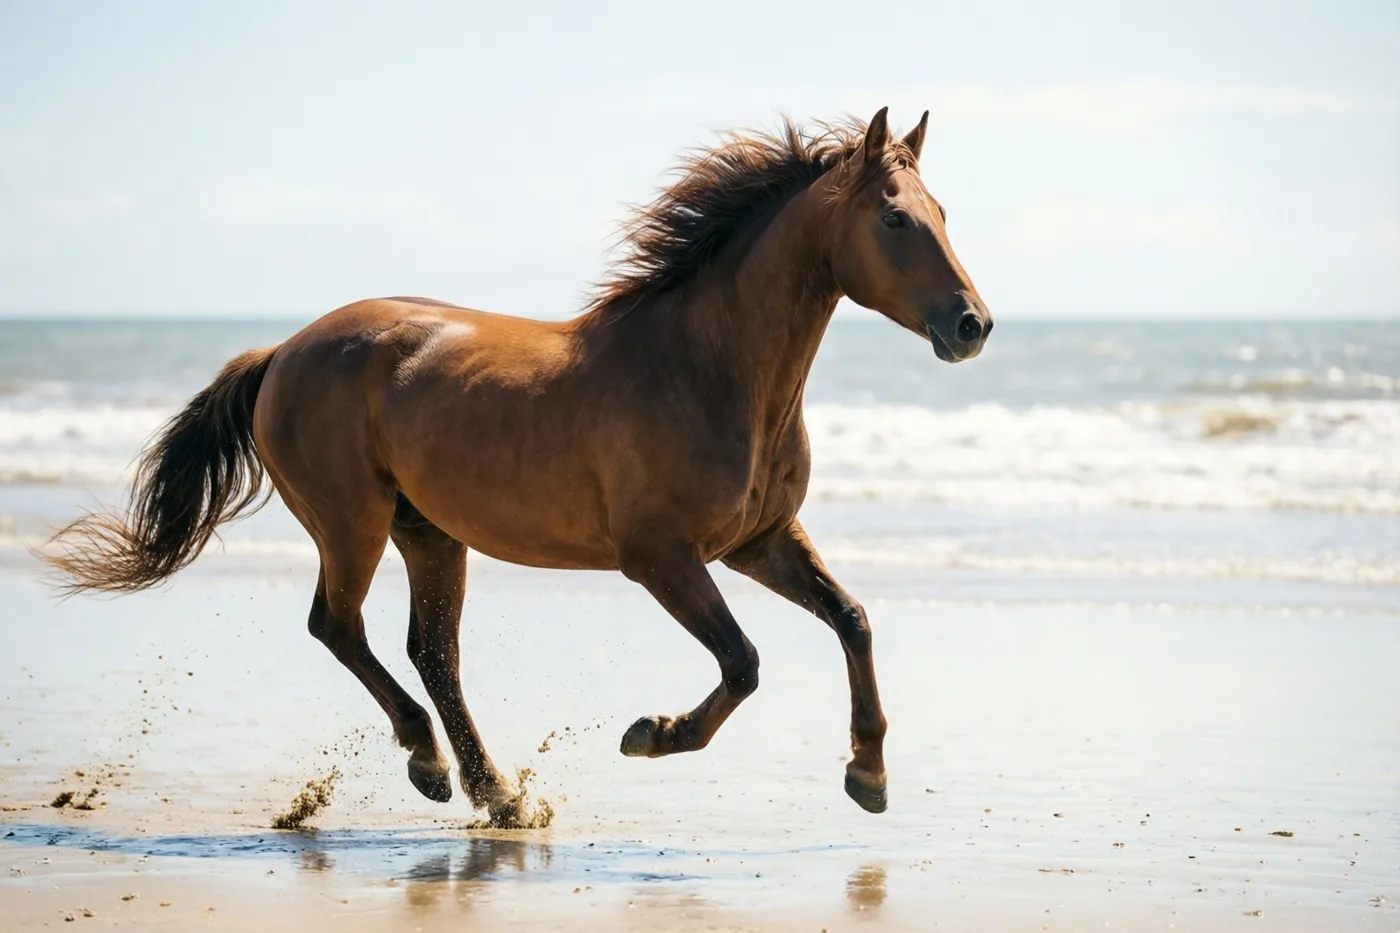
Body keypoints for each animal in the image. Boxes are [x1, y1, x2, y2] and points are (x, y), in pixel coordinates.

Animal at [43, 107, 992, 822]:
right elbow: (745, 662)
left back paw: (493, 790)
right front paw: (651, 733)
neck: (705, 366)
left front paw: (868, 775)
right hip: (352, 523)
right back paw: (432, 766)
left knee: (431, 651)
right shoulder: (662, 558)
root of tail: (281, 352)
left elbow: (852, 618)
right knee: (339, 627)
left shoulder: (759, 541)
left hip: (430, 534)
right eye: (895, 218)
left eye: (946, 213)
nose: (972, 325)